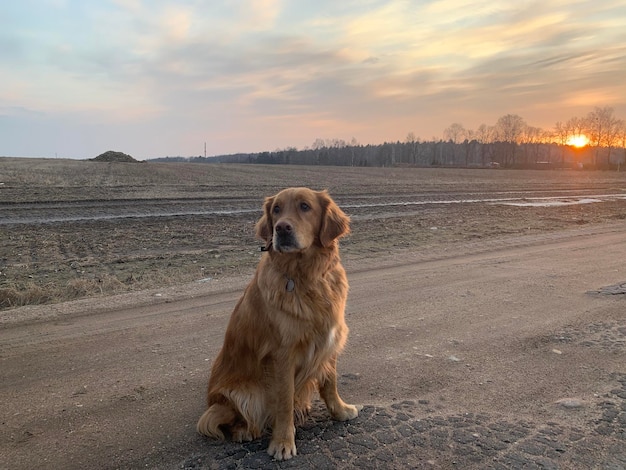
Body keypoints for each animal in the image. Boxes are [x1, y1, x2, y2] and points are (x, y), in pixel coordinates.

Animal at [197, 187, 358, 458]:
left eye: (305, 206)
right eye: (276, 210)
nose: (281, 228)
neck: (305, 276)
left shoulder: (329, 340)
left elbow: (330, 383)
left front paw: (340, 411)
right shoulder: (282, 354)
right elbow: (283, 401)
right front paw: (283, 441)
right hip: (243, 394)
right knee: (230, 418)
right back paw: (245, 431)